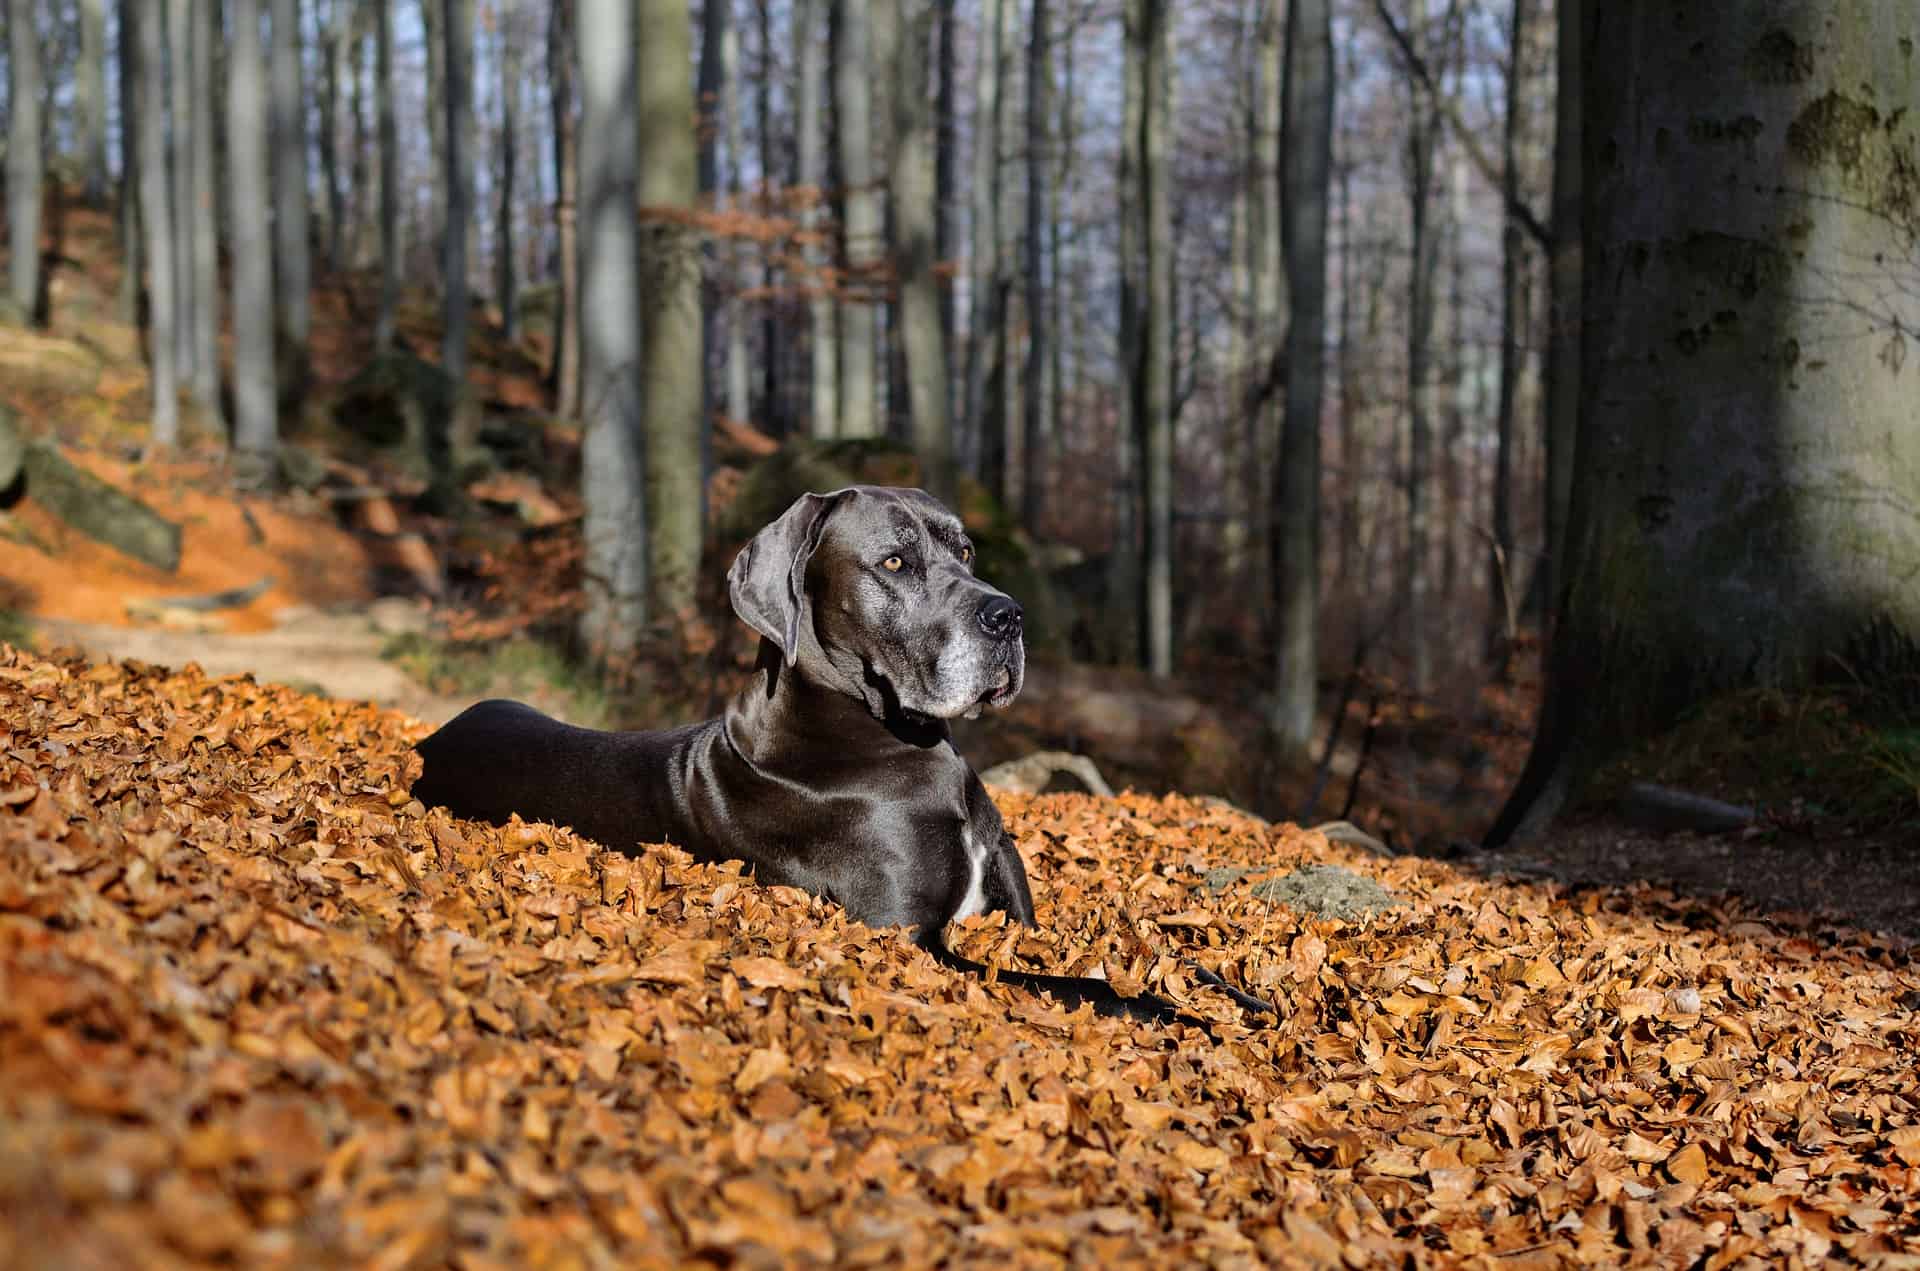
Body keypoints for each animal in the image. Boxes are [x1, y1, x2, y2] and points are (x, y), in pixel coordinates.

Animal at [412, 485, 1267, 1029]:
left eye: (964, 548)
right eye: (893, 562)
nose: (1010, 615)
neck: (902, 744)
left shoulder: (1019, 914)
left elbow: (1150, 951)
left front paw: (1246, 995)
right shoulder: (916, 941)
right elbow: (1090, 986)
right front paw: (1180, 1015)